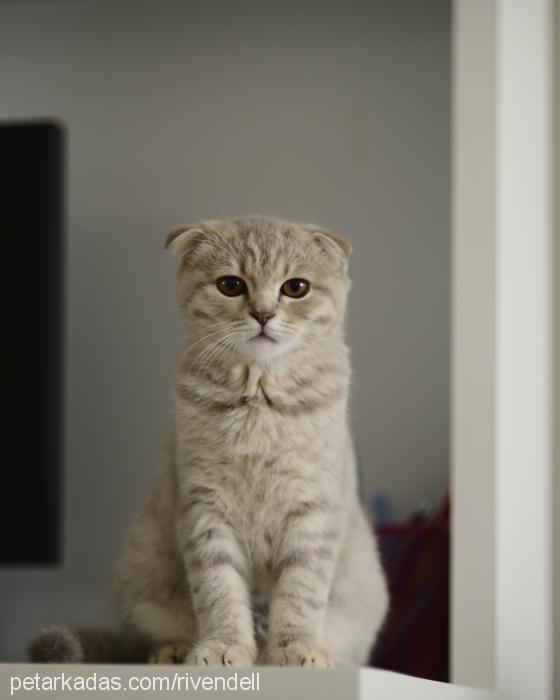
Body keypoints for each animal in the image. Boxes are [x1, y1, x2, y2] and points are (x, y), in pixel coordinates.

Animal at [29, 217, 390, 668]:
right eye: (231, 285)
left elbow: (300, 593)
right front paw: (224, 647)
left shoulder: (314, 513)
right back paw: (174, 650)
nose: (263, 314)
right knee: (148, 638)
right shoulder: (206, 510)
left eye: (296, 288)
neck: (258, 400)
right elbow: (219, 592)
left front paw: (294, 649)